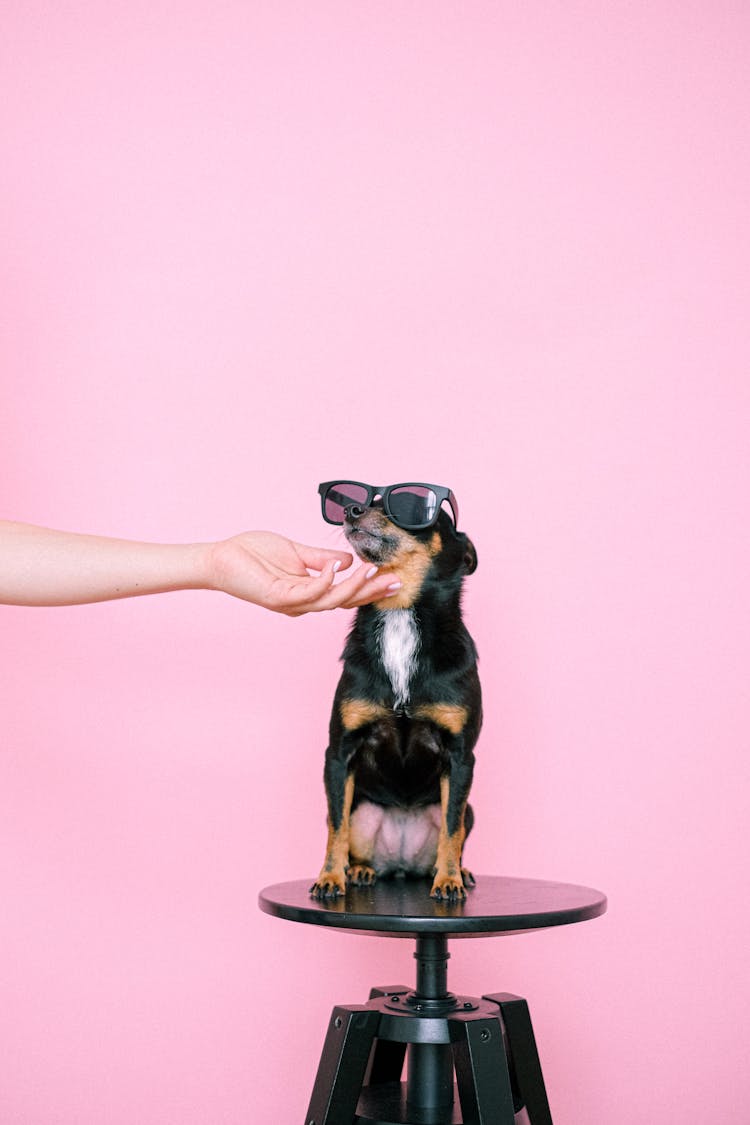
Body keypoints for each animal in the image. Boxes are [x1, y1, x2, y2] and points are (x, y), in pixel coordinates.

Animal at [310, 479, 481, 900]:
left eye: (409, 507)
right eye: (358, 500)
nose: (352, 511)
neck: (399, 612)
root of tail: (402, 867)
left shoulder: (460, 758)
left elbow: (451, 829)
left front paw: (449, 880)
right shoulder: (338, 753)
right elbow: (335, 826)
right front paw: (330, 876)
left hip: (470, 809)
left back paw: (458, 871)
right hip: (363, 809)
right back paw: (360, 871)